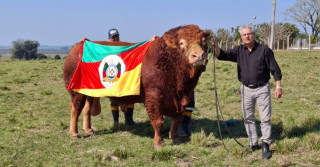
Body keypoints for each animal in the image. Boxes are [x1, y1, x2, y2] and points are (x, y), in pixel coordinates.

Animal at [63, 24, 211, 149]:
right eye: (181, 42)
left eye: (203, 41)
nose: (199, 56)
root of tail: (76, 47)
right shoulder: (153, 96)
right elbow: (158, 121)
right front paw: (159, 142)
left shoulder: (182, 99)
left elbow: (177, 120)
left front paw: (175, 138)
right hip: (77, 91)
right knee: (76, 109)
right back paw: (74, 133)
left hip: (89, 92)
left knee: (86, 109)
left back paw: (88, 129)